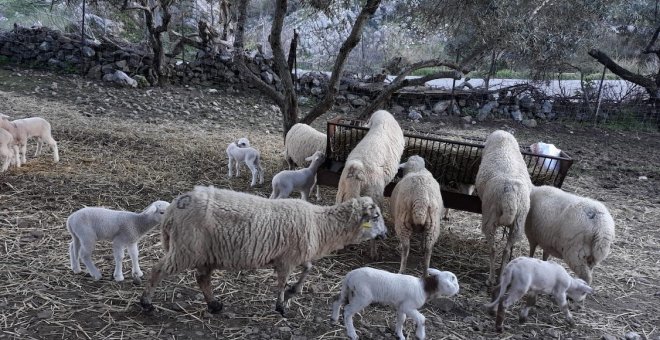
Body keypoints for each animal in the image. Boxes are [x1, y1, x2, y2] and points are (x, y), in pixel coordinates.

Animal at [141, 186, 386, 316]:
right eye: (375, 217)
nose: (384, 234)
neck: (320, 224)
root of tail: (173, 209)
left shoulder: (294, 255)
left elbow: (308, 268)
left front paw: (293, 292)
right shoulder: (287, 259)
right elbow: (282, 282)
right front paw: (281, 305)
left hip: (204, 253)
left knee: (202, 279)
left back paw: (214, 305)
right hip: (186, 248)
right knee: (157, 270)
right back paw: (146, 303)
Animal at [330, 266, 458, 340]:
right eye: (454, 282)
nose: (458, 290)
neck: (424, 288)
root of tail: (350, 275)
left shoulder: (401, 306)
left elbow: (401, 320)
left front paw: (400, 335)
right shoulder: (408, 306)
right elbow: (422, 318)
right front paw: (420, 335)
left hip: (348, 290)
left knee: (337, 301)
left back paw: (334, 318)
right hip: (362, 296)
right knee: (347, 311)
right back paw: (352, 333)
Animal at [474, 130, 532, 286]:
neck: (504, 139)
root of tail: (509, 195)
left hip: (489, 216)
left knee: (493, 249)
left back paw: (491, 278)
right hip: (519, 223)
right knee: (506, 250)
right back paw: (500, 277)